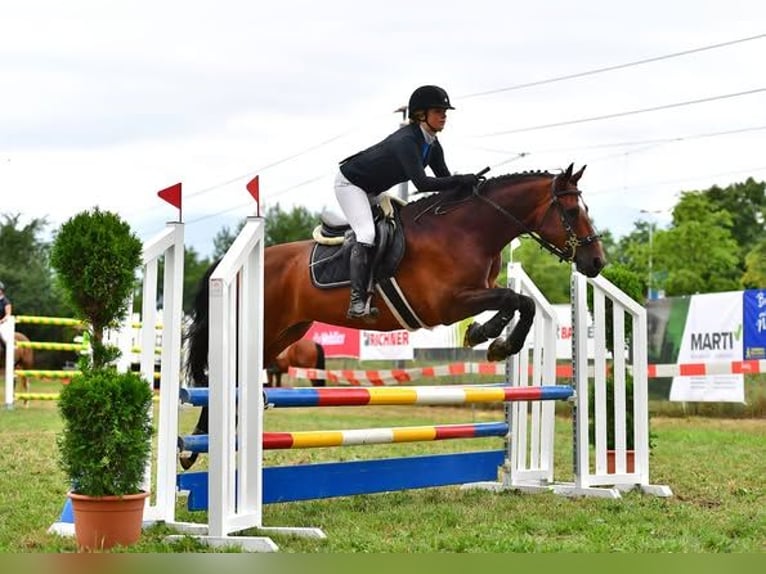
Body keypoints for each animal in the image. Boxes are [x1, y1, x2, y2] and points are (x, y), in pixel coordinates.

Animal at [180, 162, 608, 468]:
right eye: (573, 210)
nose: (596, 263)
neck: (468, 230)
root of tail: (233, 263)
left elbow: (520, 303)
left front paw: (489, 338)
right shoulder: (447, 303)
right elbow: (517, 301)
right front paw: (494, 341)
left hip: (283, 333)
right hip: (260, 327)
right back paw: (194, 447)